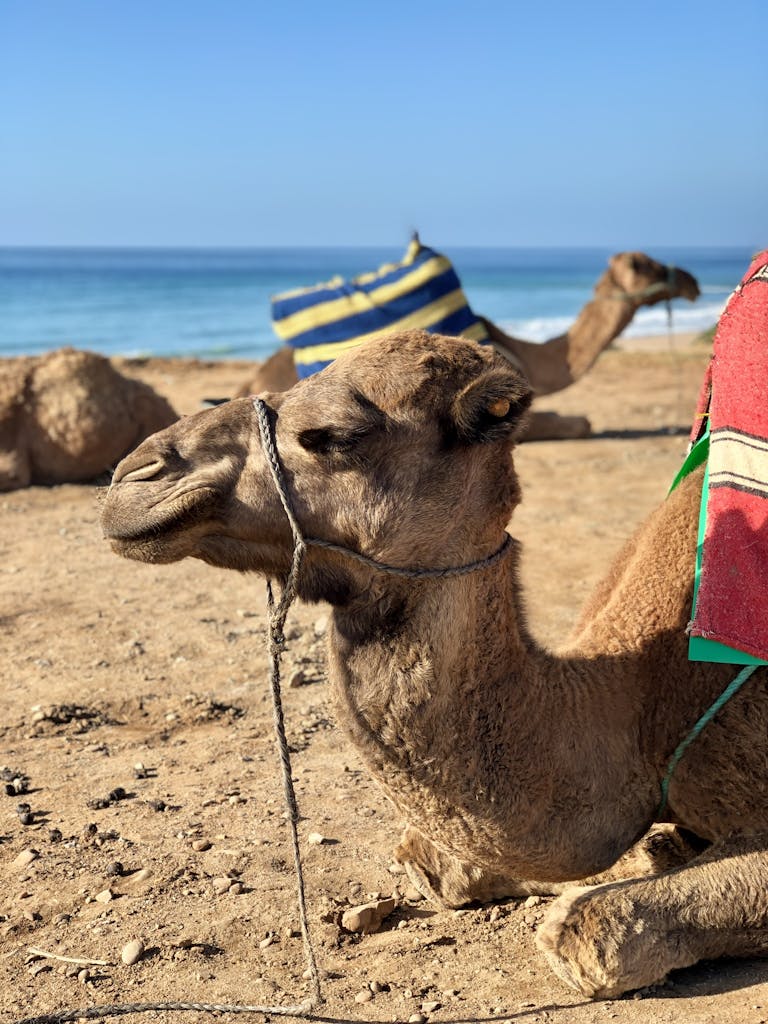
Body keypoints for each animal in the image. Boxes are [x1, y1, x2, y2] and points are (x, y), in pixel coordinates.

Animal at [101, 329, 768, 999]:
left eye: (332, 434)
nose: (133, 475)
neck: (634, 703)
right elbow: (436, 866)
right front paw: (654, 849)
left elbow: (581, 934)